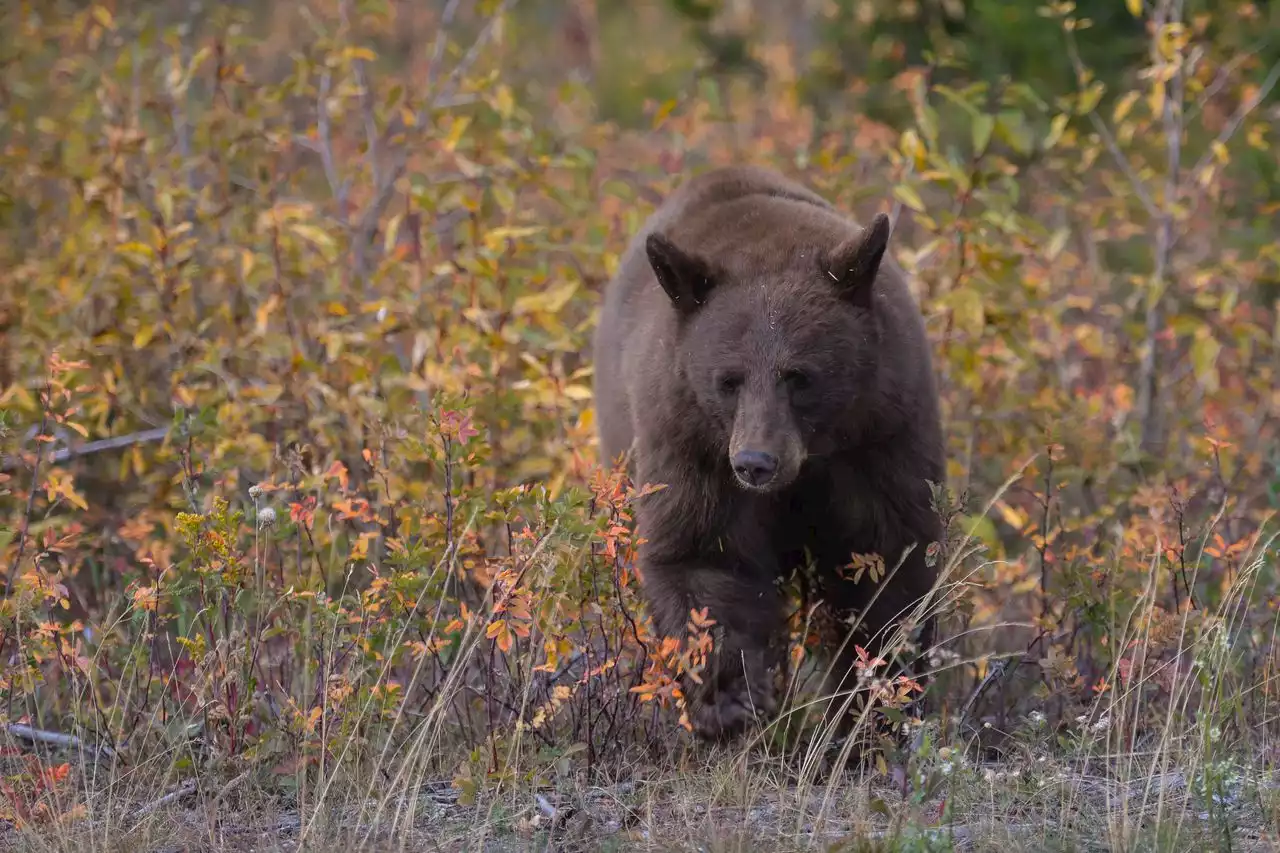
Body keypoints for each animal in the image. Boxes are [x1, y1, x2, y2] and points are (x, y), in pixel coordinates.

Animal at [593, 162, 947, 742]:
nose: (756, 463)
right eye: (728, 380)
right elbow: (702, 555)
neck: (808, 465)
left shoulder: (882, 434)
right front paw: (730, 700)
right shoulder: (691, 442)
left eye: (799, 376)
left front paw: (874, 706)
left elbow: (888, 560)